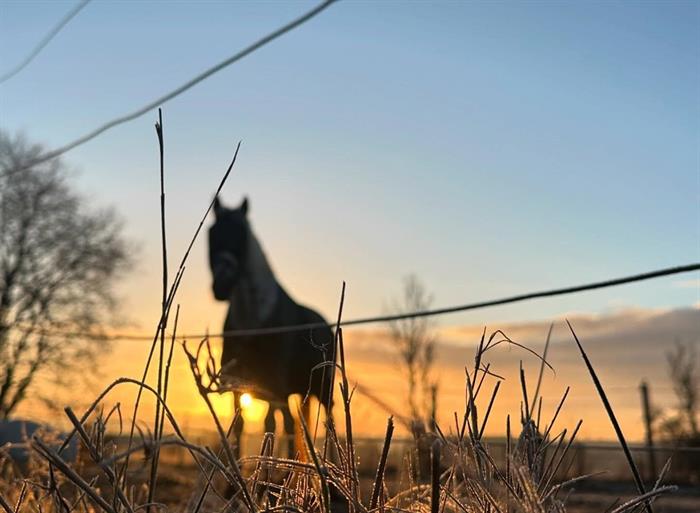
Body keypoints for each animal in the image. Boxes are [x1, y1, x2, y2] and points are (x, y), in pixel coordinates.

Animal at [208, 194, 334, 454]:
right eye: (212, 233)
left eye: (241, 234)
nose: (222, 285)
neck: (254, 323)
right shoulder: (239, 387)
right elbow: (241, 426)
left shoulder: (273, 388)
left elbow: (270, 425)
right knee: (293, 423)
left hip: (322, 390)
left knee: (329, 423)